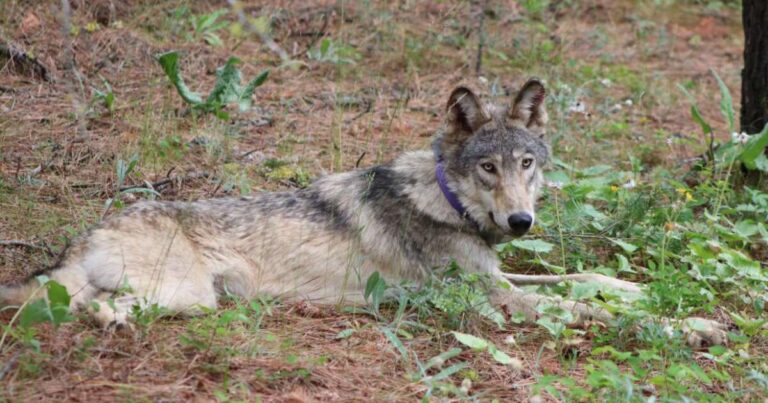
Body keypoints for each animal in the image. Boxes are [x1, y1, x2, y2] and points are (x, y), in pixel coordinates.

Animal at [0, 79, 728, 348]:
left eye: (526, 163)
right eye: (487, 168)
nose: (521, 223)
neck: (446, 200)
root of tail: (89, 230)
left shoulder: (498, 279)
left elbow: (586, 280)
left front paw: (640, 289)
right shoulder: (493, 302)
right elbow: (586, 309)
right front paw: (692, 324)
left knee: (74, 301)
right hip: (187, 295)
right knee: (82, 306)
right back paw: (104, 322)